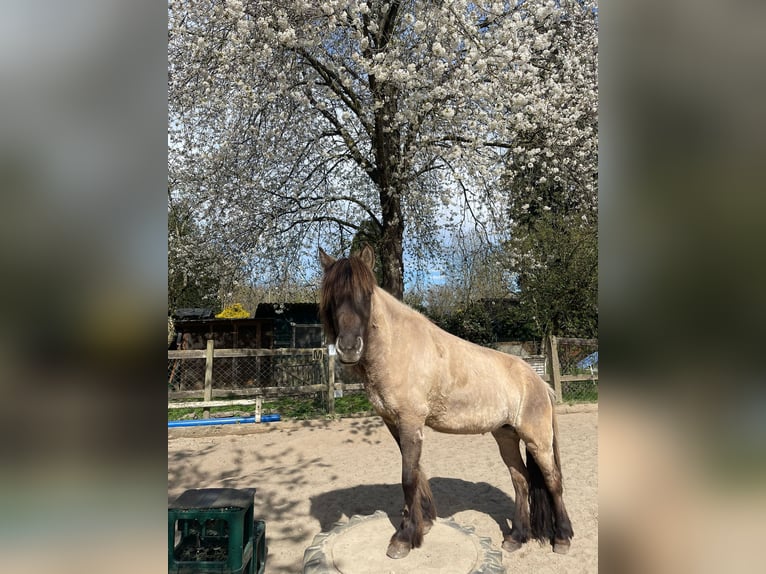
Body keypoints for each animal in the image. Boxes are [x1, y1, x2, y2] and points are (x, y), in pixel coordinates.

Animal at [318, 244, 573, 559]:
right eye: (332, 296)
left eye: (366, 294)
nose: (349, 348)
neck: (398, 348)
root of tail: (539, 382)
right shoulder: (395, 423)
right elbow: (416, 473)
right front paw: (423, 523)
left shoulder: (411, 422)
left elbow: (408, 477)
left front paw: (404, 538)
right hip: (506, 436)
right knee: (521, 480)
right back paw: (516, 537)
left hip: (537, 440)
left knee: (553, 481)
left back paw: (562, 538)